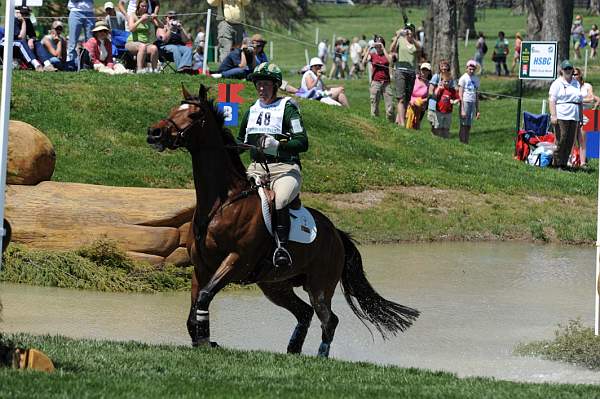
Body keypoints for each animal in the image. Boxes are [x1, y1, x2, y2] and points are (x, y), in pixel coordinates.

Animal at [146, 83, 418, 356]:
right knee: (305, 312)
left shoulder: (236, 261)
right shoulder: (202, 267)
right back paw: (293, 350)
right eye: (174, 109)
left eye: (193, 115)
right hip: (275, 284)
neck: (222, 202)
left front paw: (205, 341)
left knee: (328, 319)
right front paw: (203, 340)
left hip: (319, 285)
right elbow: (193, 312)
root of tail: (336, 234)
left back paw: (320, 356)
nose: (154, 133)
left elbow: (204, 297)